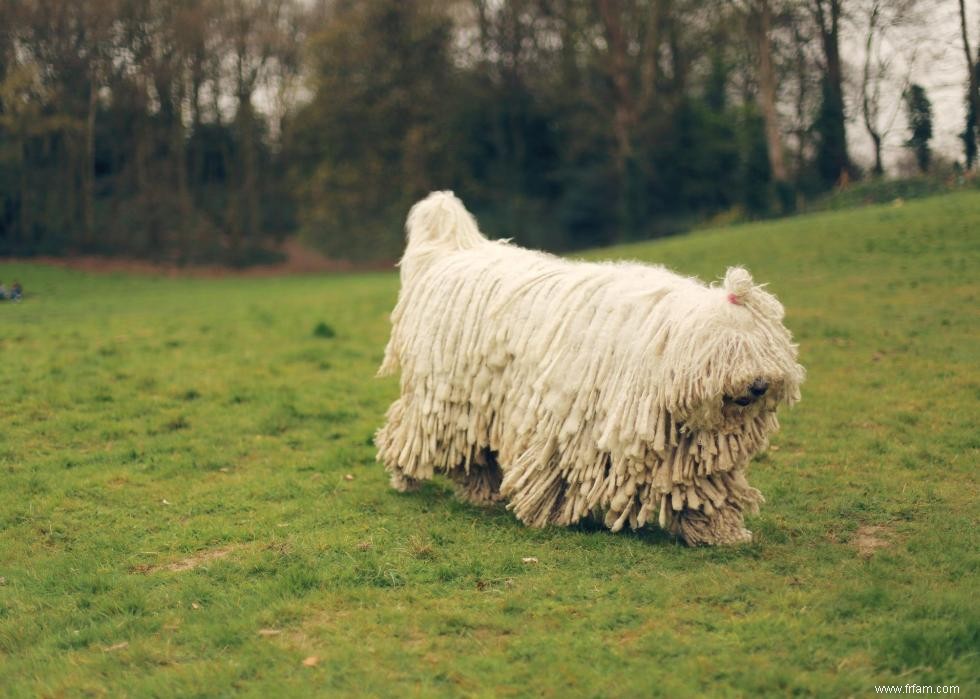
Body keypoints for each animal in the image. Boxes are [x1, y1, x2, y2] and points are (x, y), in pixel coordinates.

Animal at [376, 191, 804, 548]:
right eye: (727, 349)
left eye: (764, 347)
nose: (758, 385)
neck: (659, 352)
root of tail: (451, 256)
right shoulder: (566, 421)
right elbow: (554, 470)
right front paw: (548, 513)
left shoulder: (687, 445)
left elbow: (702, 487)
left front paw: (720, 530)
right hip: (444, 395)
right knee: (411, 431)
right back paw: (404, 477)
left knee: (474, 456)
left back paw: (482, 492)